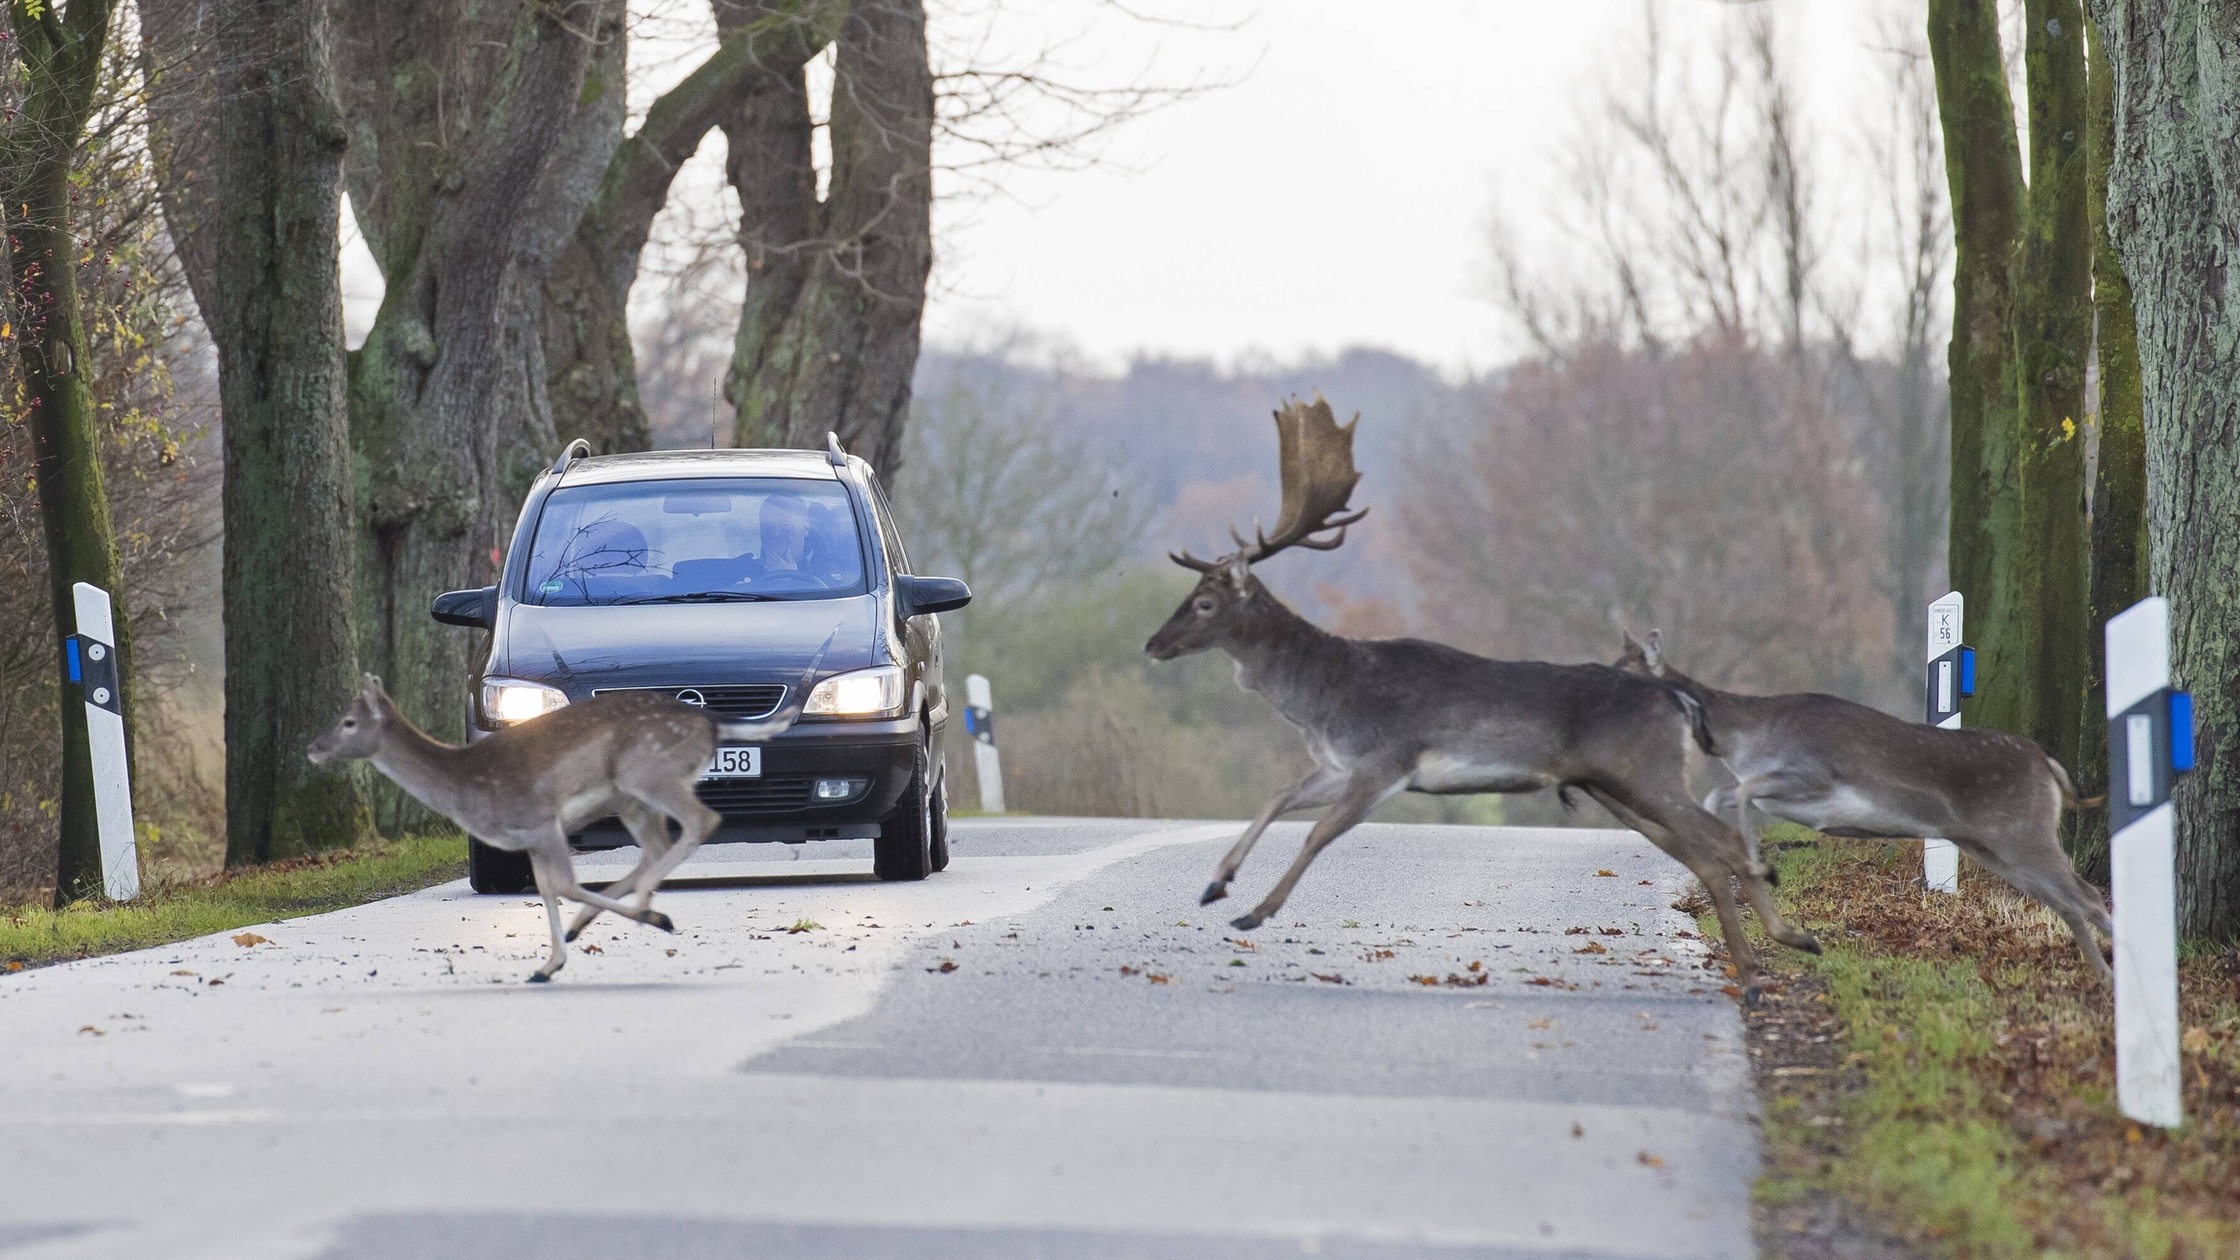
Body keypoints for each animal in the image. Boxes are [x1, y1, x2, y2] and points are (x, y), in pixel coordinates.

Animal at [306, 672, 721, 977]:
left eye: (348, 722)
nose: (313, 747)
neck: (462, 784)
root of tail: (709, 725)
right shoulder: (530, 837)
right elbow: (547, 890)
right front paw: (548, 966)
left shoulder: (539, 819)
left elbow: (566, 886)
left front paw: (658, 920)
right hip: (635, 796)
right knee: (658, 845)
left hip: (651, 774)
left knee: (702, 820)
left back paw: (648, 908)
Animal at [1137, 392, 1818, 990]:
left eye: (1204, 602)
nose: (1152, 643)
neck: (1322, 698)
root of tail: (1676, 700)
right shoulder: (1339, 764)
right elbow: (1276, 798)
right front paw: (1216, 884)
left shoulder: (1385, 760)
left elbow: (1317, 834)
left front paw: (1255, 910)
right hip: (1616, 786)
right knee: (1705, 852)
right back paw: (1767, 957)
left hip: (1645, 769)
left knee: (1720, 842)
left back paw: (1778, 954)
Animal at [1612, 632, 2114, 977]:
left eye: (1625, 668)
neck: (1742, 742)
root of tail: (2047, 763)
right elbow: (1723, 793)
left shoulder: (1813, 775)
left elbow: (1739, 790)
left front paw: (1759, 868)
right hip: (1994, 846)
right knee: (2067, 902)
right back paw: (2102, 976)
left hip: (2024, 831)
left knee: (2086, 895)